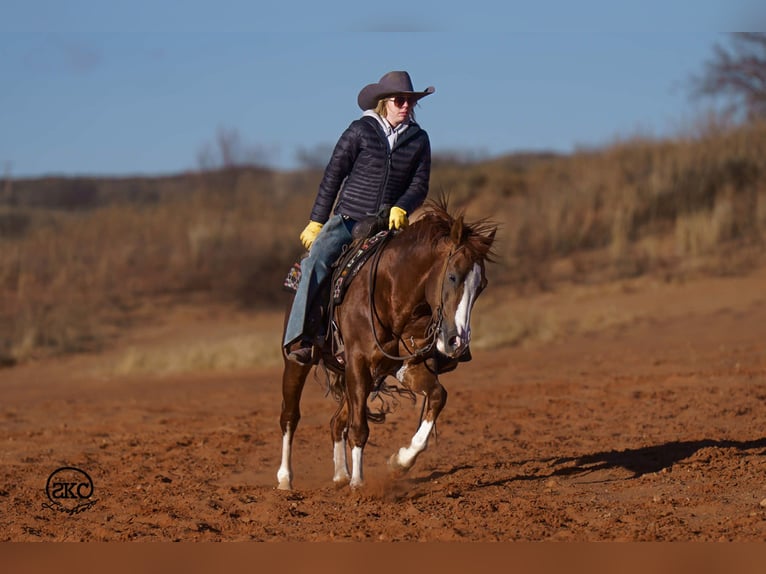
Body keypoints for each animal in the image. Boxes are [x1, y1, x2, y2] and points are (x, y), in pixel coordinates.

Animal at [277, 199, 497, 490]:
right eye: (452, 276)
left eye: (481, 285)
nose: (457, 341)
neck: (390, 292)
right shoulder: (358, 363)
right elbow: (360, 429)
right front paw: (359, 484)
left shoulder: (406, 366)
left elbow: (437, 396)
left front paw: (399, 461)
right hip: (297, 362)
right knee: (290, 416)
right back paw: (285, 479)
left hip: (365, 375)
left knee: (337, 422)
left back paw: (340, 475)